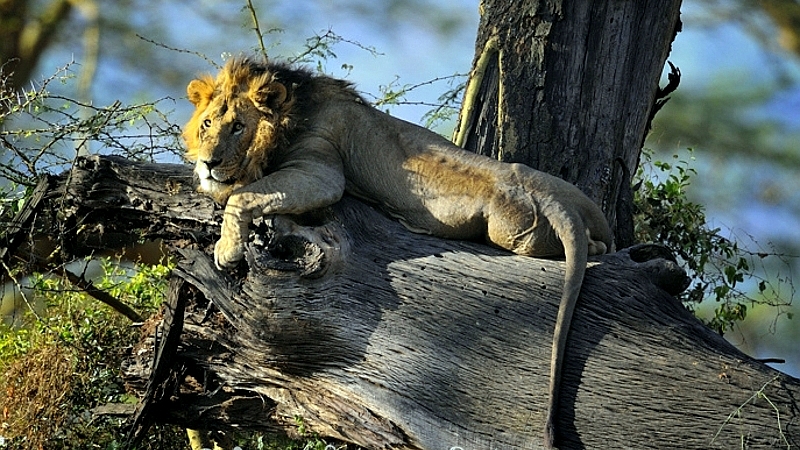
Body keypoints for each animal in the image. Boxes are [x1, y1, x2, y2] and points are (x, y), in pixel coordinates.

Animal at [183, 56, 612, 449]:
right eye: (207, 125)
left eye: (238, 126)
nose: (209, 163)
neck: (294, 111)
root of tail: (559, 203)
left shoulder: (321, 170)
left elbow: (242, 195)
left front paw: (226, 249)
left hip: (510, 229)